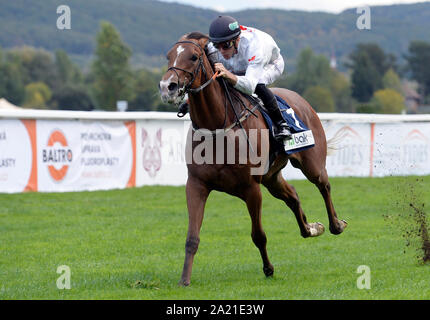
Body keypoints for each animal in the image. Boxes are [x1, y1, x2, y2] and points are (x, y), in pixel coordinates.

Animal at [158, 33, 346, 288]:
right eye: (169, 56)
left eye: (194, 57)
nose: (167, 87)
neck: (217, 126)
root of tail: (302, 100)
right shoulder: (196, 185)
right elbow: (192, 237)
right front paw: (184, 280)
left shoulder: (251, 188)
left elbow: (258, 235)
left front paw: (268, 269)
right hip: (272, 177)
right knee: (293, 195)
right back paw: (310, 228)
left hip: (311, 164)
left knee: (324, 185)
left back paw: (336, 224)